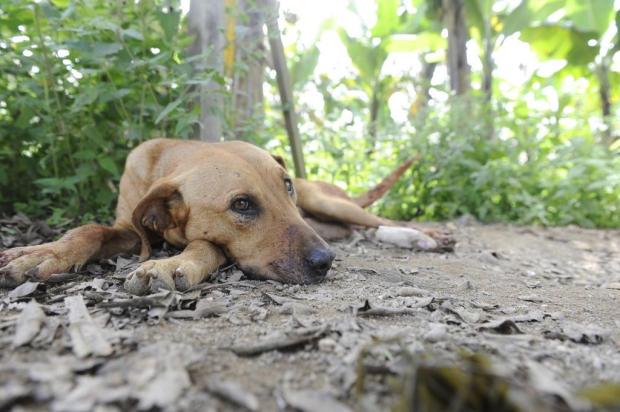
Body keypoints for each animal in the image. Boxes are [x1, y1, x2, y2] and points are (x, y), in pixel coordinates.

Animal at [0, 138, 448, 292]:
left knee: (379, 222)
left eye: (285, 185)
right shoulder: (129, 229)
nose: (326, 263)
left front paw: (172, 264)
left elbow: (203, 245)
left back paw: (425, 236)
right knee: (359, 231)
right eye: (242, 204)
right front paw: (40, 252)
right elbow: (88, 230)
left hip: (328, 203)